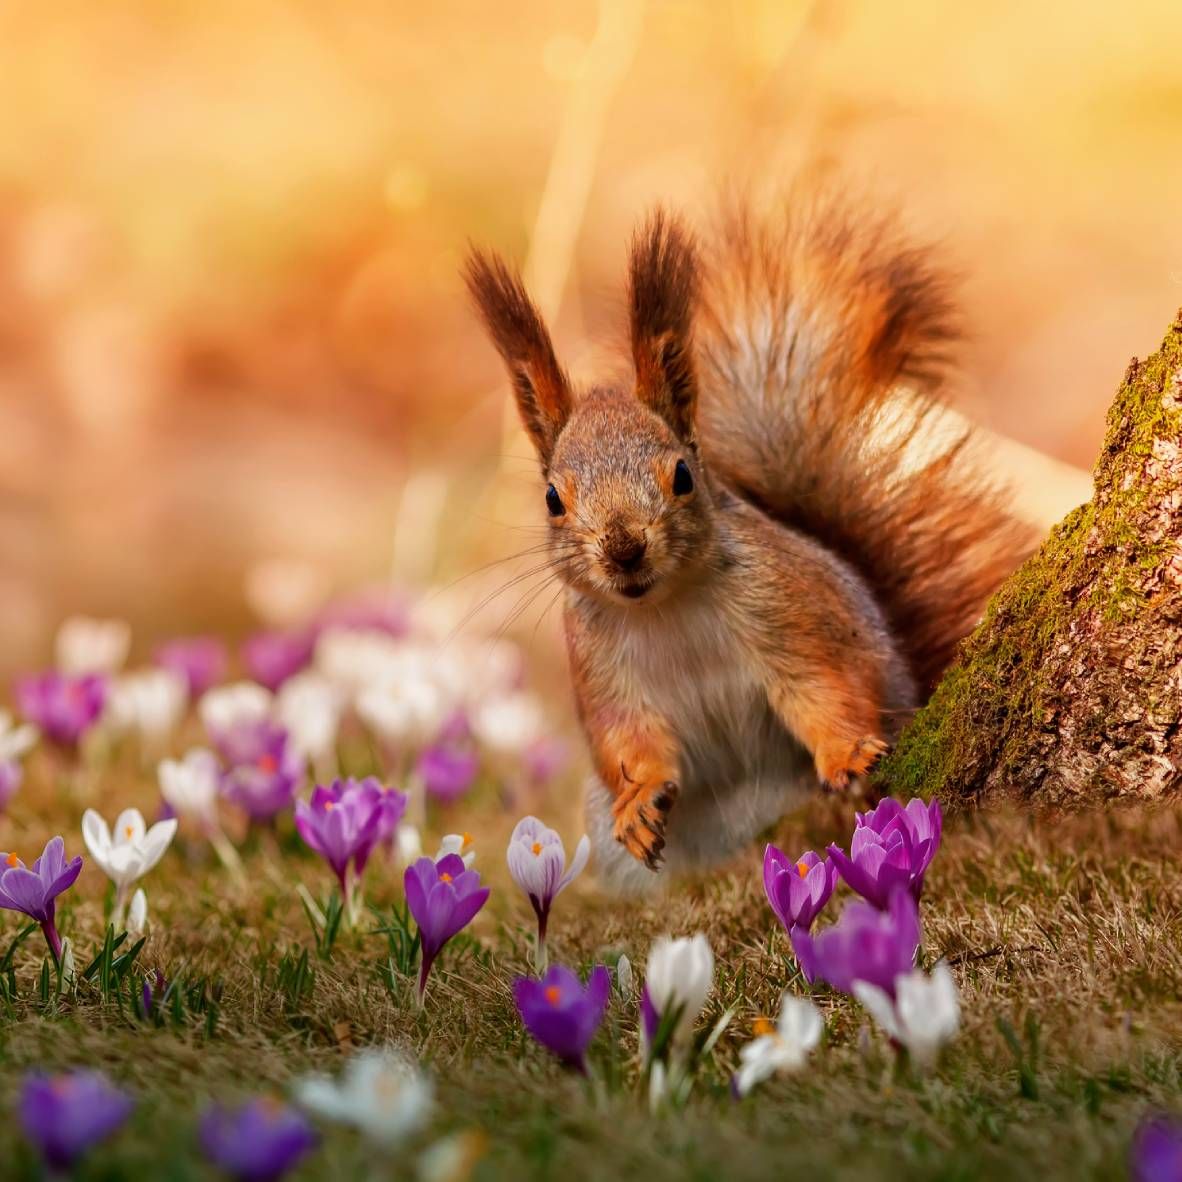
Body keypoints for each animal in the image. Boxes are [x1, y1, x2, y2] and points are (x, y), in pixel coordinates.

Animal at [465, 192, 1034, 894]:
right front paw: (638, 801)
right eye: (552, 499)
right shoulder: (598, 666)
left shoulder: (789, 607)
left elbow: (825, 685)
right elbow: (626, 738)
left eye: (683, 475)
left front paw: (847, 754)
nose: (624, 549)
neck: (665, 606)